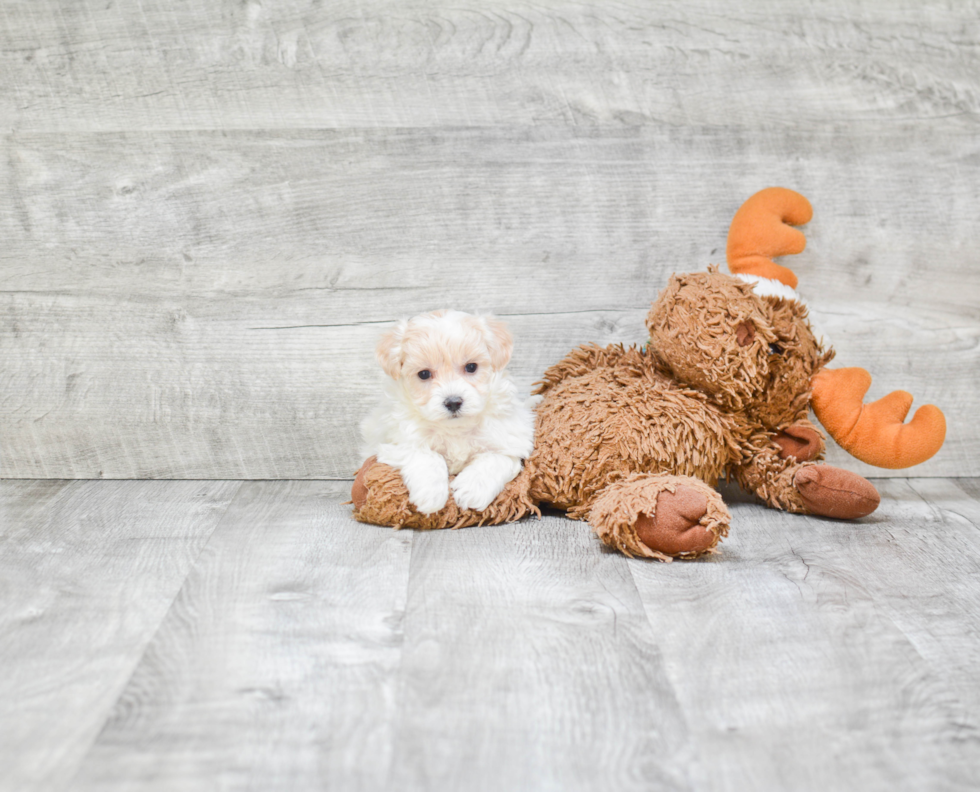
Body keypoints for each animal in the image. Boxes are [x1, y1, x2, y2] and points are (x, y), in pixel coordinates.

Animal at [362, 310, 536, 512]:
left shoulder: (510, 443)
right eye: (424, 374)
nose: (453, 402)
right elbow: (428, 455)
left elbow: (494, 459)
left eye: (471, 367)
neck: (455, 428)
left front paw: (472, 488)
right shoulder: (396, 444)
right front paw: (430, 493)